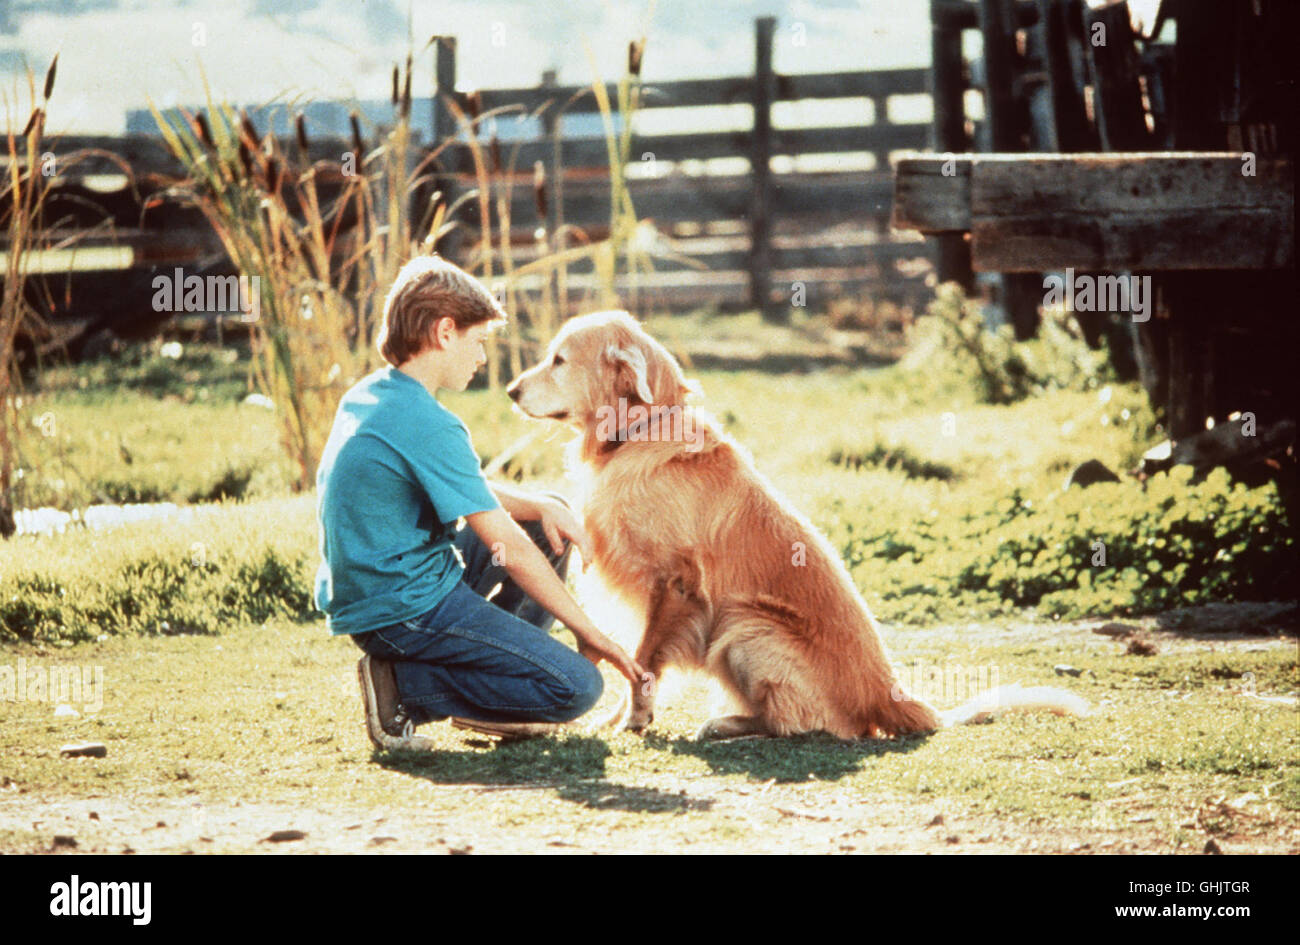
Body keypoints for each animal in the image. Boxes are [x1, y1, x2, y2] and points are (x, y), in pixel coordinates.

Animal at [506, 310, 1086, 738]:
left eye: (558, 360)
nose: (510, 390)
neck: (641, 428)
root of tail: (889, 693)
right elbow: (634, 658)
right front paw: (618, 718)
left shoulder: (675, 583)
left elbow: (645, 660)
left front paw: (635, 719)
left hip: (746, 625)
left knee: (812, 727)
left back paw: (732, 726)